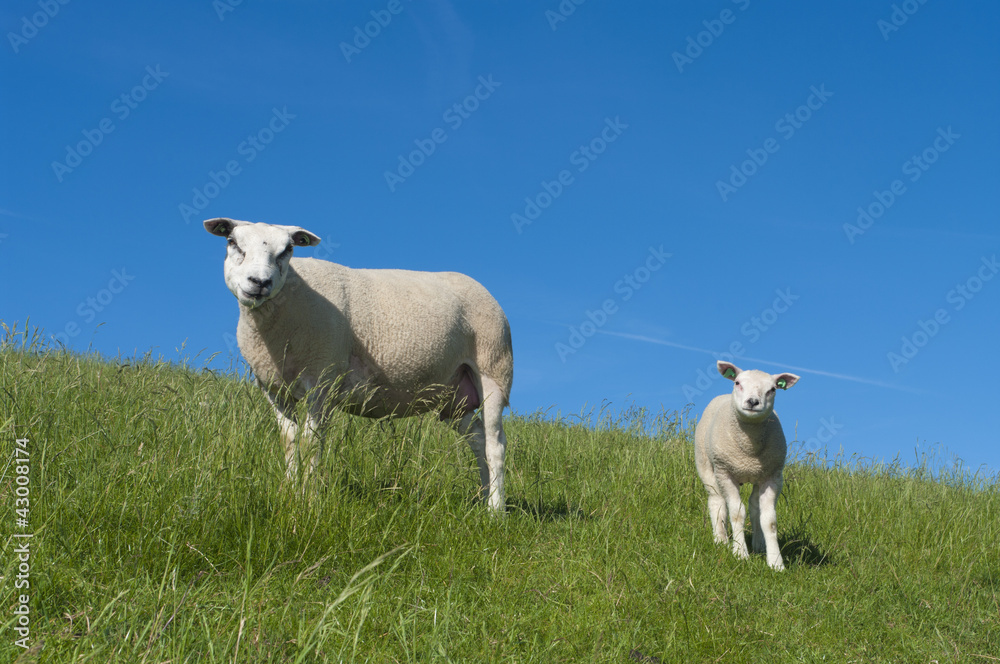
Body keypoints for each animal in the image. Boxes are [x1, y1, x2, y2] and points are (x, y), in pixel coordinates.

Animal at [203, 217, 514, 512]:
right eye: (232, 242)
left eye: (287, 250)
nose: (259, 282)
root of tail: (480, 287)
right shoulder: (274, 389)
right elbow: (289, 443)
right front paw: (290, 495)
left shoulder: (322, 381)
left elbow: (311, 443)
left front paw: (308, 502)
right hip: (454, 396)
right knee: (478, 440)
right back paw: (483, 499)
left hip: (494, 369)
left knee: (496, 445)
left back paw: (495, 511)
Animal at [694, 361, 799, 570]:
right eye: (738, 383)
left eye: (772, 389)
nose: (752, 402)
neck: (749, 451)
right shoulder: (726, 472)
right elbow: (736, 513)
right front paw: (740, 553)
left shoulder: (772, 476)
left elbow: (769, 520)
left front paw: (776, 562)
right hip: (707, 465)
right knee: (717, 500)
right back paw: (721, 540)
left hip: (758, 475)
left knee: (754, 505)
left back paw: (758, 545)